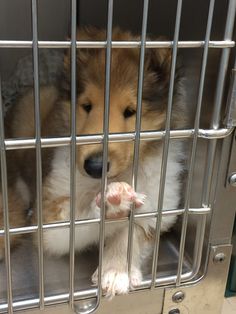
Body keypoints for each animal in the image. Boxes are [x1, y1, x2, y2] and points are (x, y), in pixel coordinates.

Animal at [2, 27, 185, 300]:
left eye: (130, 111)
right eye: (86, 105)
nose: (94, 167)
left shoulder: (159, 206)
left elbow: (132, 230)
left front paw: (116, 271)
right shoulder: (49, 215)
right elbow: (75, 219)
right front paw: (112, 204)